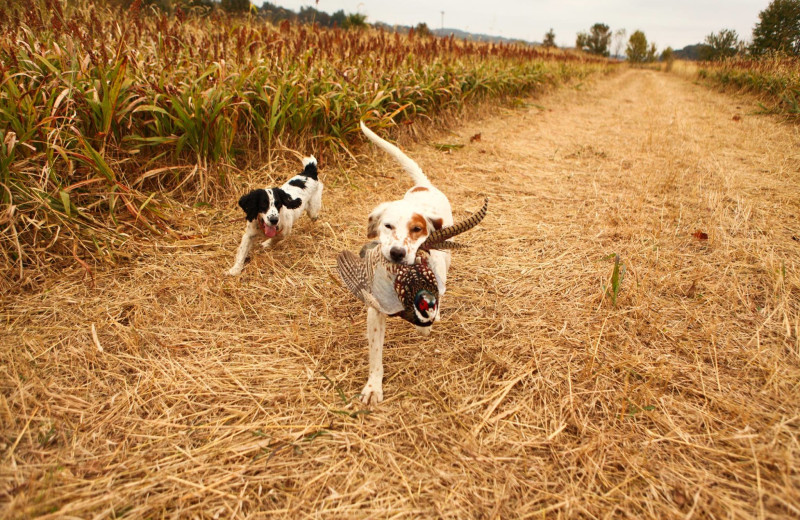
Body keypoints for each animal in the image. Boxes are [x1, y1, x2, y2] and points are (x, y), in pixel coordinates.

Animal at [360, 123, 454, 406]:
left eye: (416, 229)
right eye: (387, 226)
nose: (397, 252)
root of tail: (423, 186)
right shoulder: (375, 312)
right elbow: (375, 354)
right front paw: (373, 387)